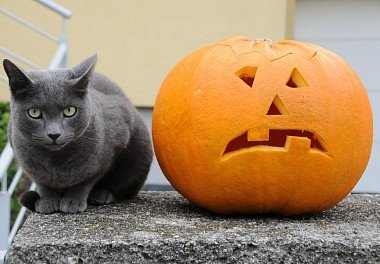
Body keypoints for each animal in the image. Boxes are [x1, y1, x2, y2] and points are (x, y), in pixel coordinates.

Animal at [1, 54, 153, 213]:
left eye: (70, 111)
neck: (55, 161)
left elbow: (85, 181)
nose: (54, 134)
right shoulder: (29, 164)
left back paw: (102, 195)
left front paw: (72, 201)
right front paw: (48, 201)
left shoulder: (111, 151)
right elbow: (43, 184)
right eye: (34, 112)